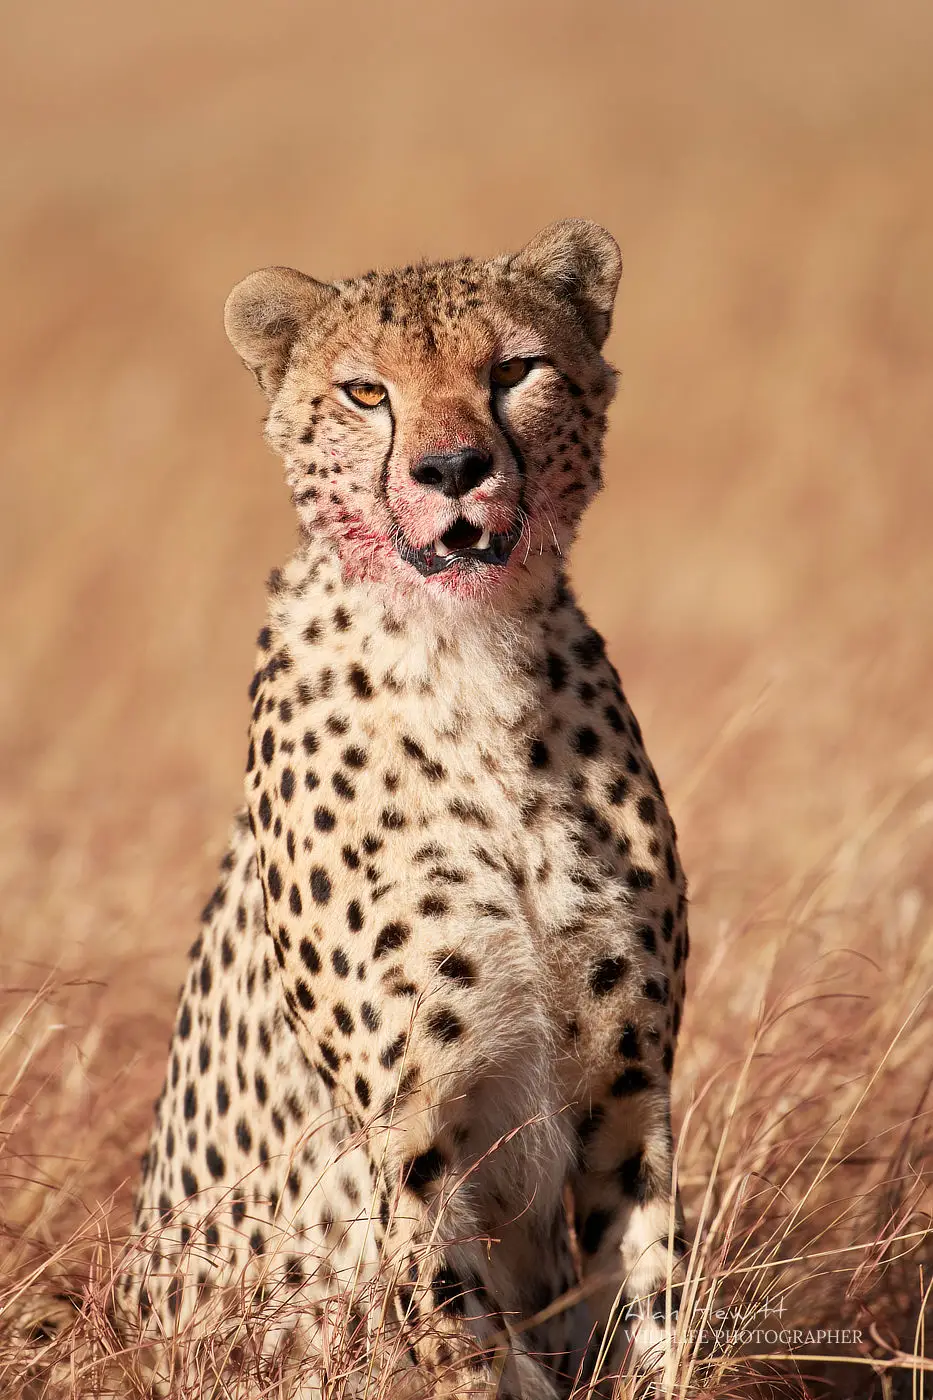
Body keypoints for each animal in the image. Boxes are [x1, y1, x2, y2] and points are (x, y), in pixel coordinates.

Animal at [114, 219, 690, 1399]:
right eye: (367, 391)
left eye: (514, 370)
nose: (453, 467)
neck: (466, 659)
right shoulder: (414, 1139)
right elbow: (460, 1336)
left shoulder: (629, 1095)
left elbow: (654, 1314)